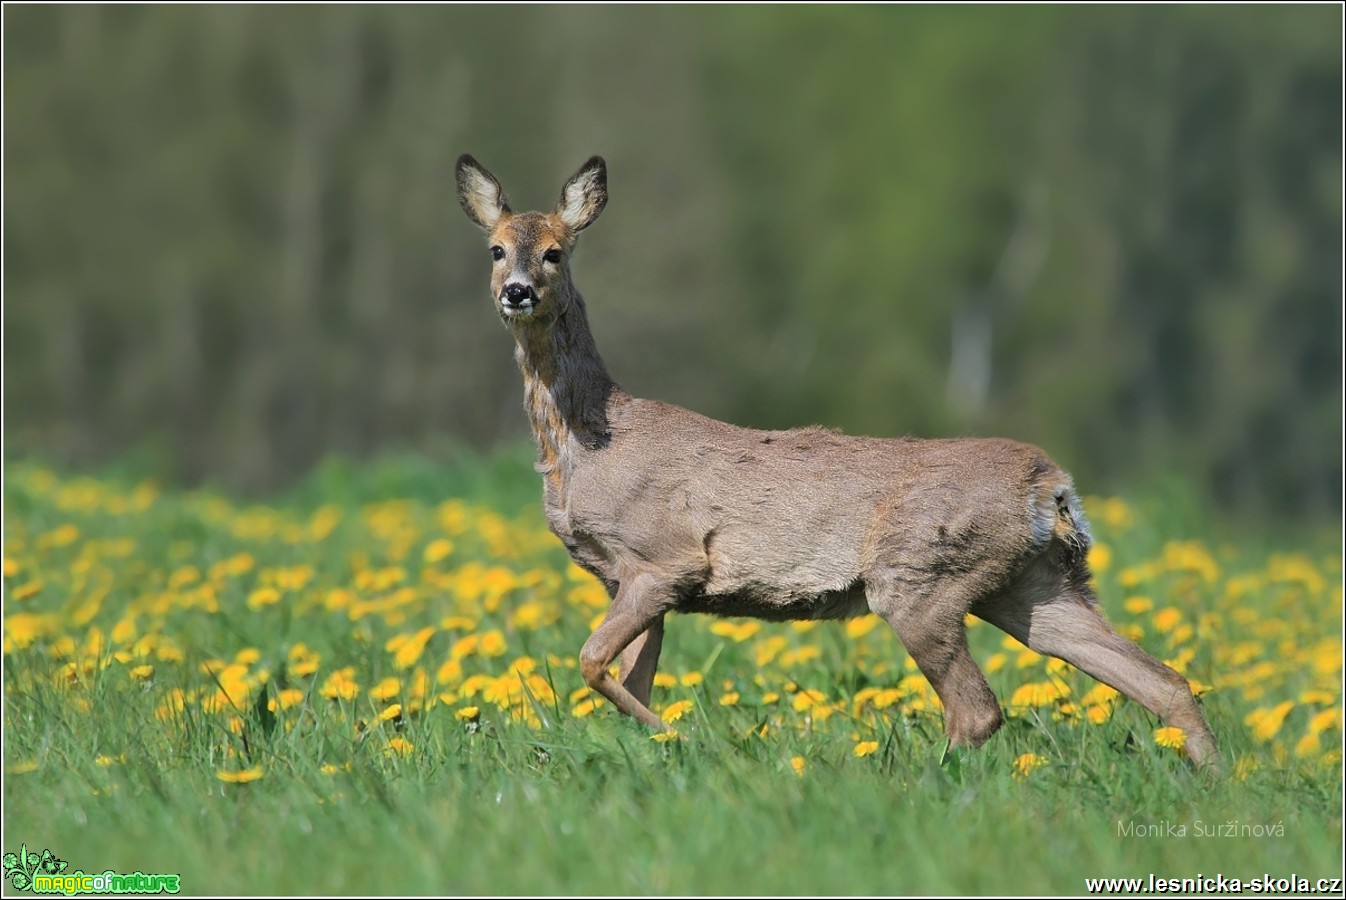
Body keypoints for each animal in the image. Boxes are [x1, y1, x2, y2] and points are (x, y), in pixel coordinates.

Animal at [452, 152, 1222, 764]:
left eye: (556, 251)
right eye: (496, 249)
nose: (517, 291)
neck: (590, 439)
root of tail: (1051, 487)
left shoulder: (665, 560)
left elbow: (590, 662)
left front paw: (693, 738)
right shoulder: (630, 578)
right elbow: (629, 676)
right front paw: (662, 749)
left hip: (919, 576)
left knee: (977, 710)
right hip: (1034, 583)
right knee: (1164, 680)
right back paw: (1214, 784)